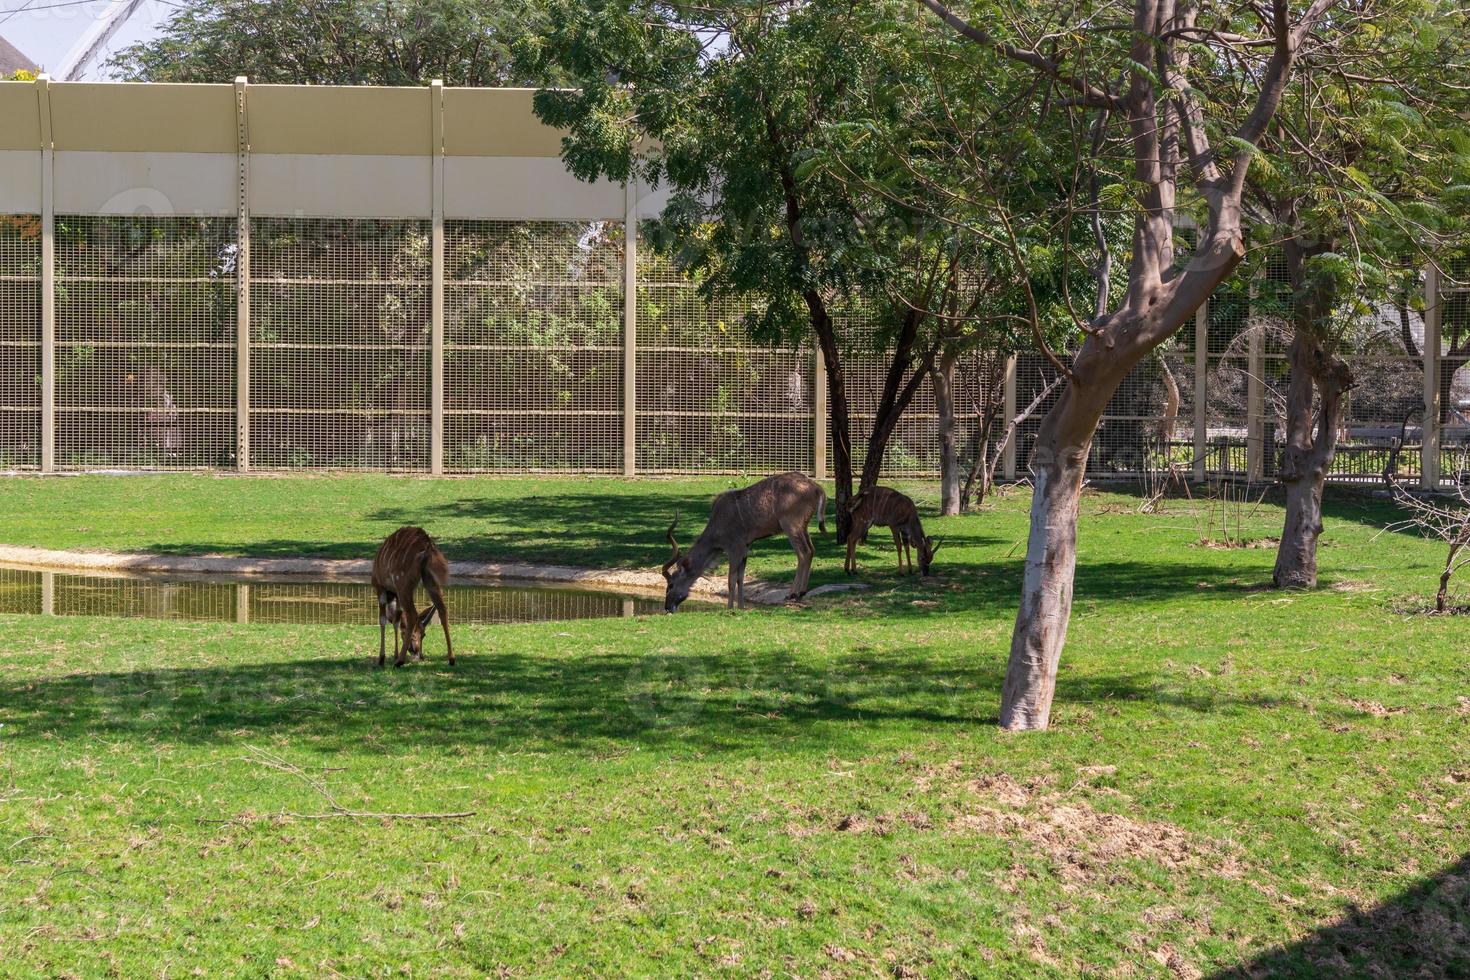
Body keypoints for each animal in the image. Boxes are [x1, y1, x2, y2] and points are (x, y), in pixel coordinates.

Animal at [373, 528, 452, 667]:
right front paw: (394, 654)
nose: (419, 655)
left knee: (412, 614)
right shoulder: (396, 594)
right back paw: (451, 659)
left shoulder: (380, 588)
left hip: (404, 584)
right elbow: (396, 621)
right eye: (424, 634)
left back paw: (399, 661)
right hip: (429, 581)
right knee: (443, 609)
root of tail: (427, 545)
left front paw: (382, 658)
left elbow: (382, 620)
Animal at [664, 470, 829, 614]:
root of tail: (816, 488)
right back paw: (801, 592)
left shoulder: (734, 549)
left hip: (791, 526)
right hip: (803, 527)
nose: (667, 607)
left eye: (671, 585)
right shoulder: (745, 548)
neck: (717, 525)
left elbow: (731, 579)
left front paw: (730, 608)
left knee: (803, 553)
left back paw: (794, 593)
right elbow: (740, 578)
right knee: (811, 550)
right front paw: (741, 607)